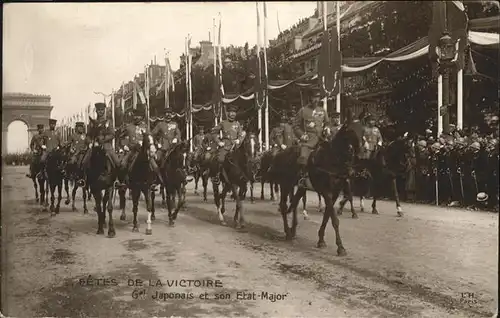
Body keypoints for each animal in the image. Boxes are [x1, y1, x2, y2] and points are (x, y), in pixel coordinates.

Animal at [274, 110, 364, 255]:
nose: (361, 155)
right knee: (283, 205)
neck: (333, 159)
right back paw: (288, 232)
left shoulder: (335, 193)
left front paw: (321, 240)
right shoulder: (326, 192)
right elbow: (334, 219)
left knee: (294, 203)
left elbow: (327, 216)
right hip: (285, 184)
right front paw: (340, 247)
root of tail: (281, 152)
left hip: (300, 187)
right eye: (351, 130)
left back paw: (293, 230)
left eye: (363, 129)